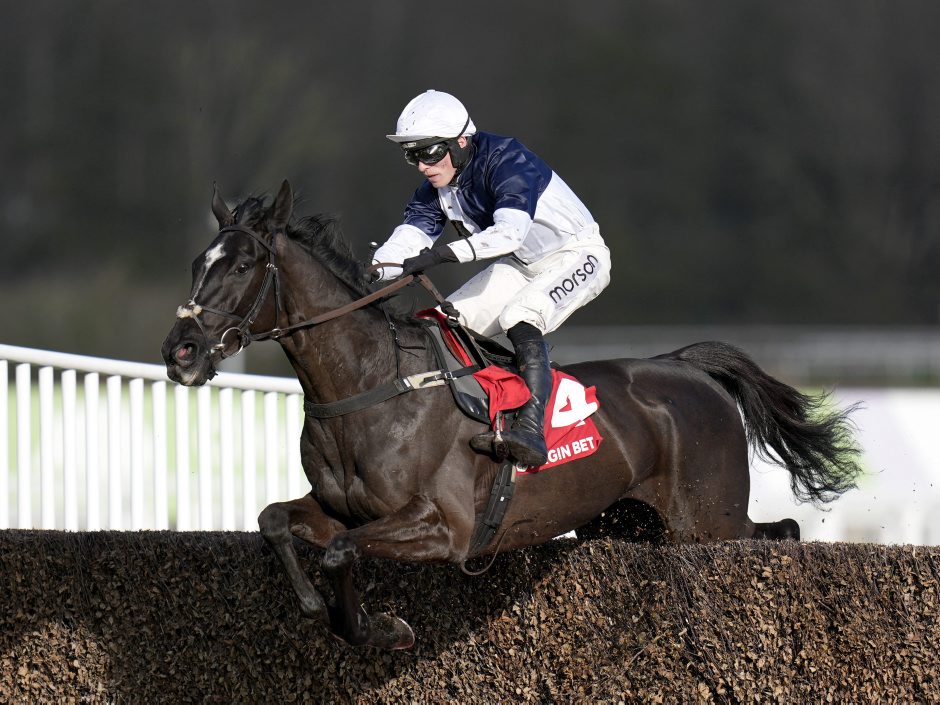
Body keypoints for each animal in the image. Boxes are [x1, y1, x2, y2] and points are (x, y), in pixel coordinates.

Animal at [162, 180, 861, 650]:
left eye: (244, 264)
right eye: (197, 263)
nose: (181, 352)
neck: (370, 386)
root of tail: (687, 367)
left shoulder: (445, 527)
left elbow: (339, 553)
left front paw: (379, 627)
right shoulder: (340, 509)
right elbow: (277, 521)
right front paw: (324, 610)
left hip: (707, 523)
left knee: (780, 533)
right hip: (633, 524)